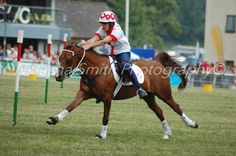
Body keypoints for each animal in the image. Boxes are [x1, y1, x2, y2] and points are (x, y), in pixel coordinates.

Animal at [47, 40, 198, 140]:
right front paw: (55, 119)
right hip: (149, 97)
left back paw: (192, 124)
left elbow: (105, 116)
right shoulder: (83, 94)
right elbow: (70, 107)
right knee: (159, 111)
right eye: (59, 57)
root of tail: (157, 62)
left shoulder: (107, 98)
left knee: (176, 107)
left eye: (68, 59)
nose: (58, 77)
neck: (96, 70)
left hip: (164, 94)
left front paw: (102, 134)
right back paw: (167, 133)